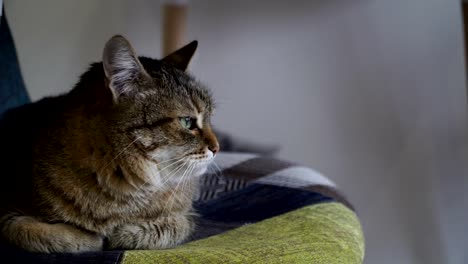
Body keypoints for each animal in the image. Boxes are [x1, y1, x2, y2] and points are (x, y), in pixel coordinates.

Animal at [0, 34, 218, 253]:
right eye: (187, 121)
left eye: (210, 118)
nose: (217, 148)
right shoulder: (8, 214)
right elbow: (37, 232)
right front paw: (89, 237)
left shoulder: (185, 215)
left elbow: (172, 226)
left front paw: (124, 234)